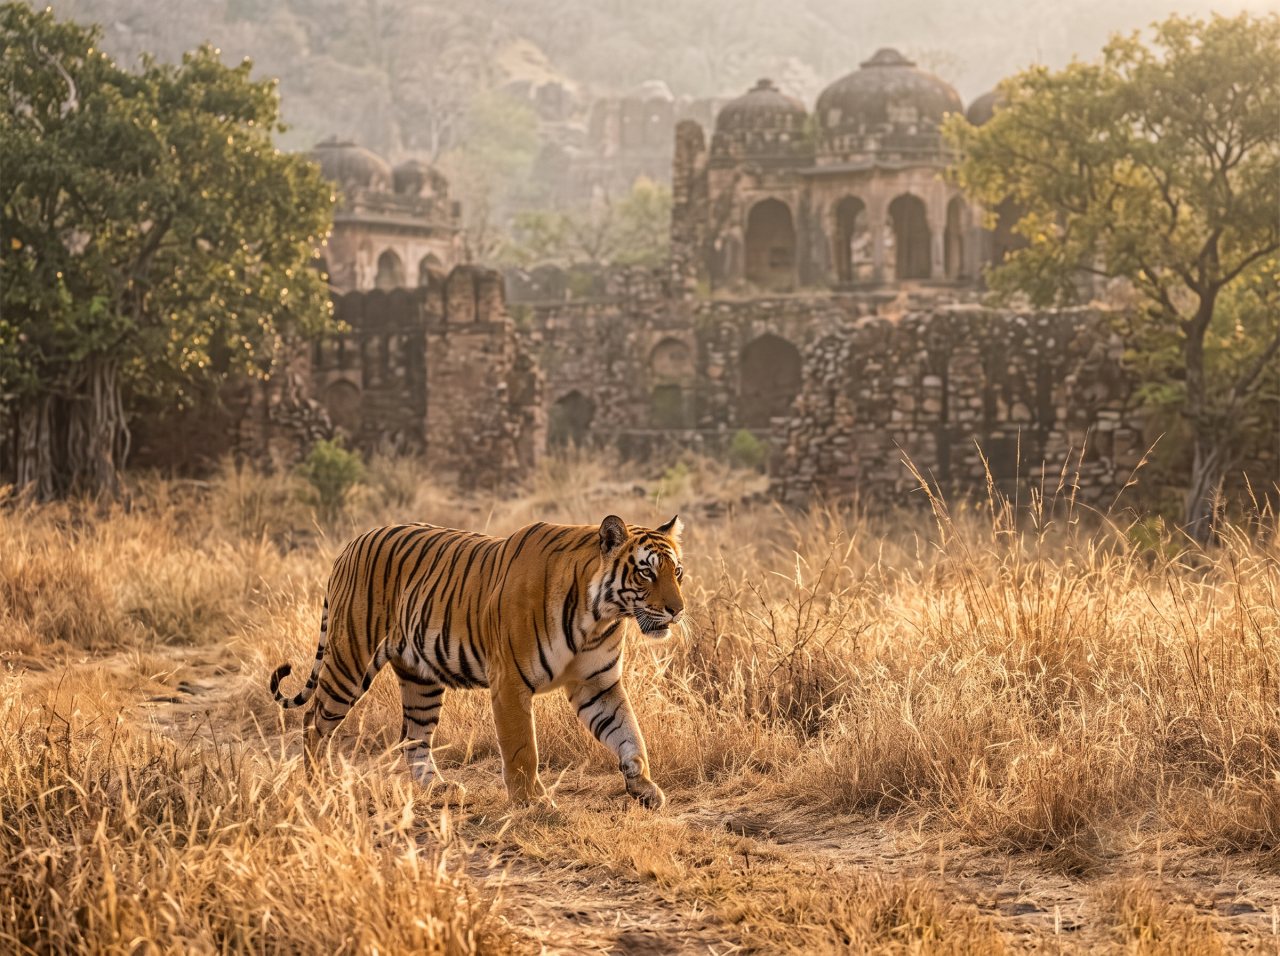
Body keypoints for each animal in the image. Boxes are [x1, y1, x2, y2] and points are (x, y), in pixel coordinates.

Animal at [269, 514, 685, 808]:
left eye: (677, 571)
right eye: (646, 571)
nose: (678, 610)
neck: (599, 616)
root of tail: (350, 544)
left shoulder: (596, 684)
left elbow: (629, 734)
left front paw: (644, 787)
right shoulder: (510, 682)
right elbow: (522, 750)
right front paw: (533, 803)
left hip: (420, 680)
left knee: (413, 736)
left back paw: (438, 789)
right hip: (350, 659)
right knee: (314, 720)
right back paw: (320, 784)